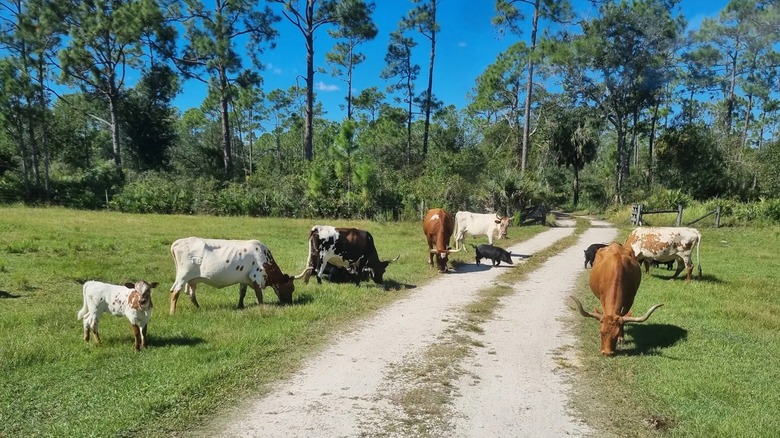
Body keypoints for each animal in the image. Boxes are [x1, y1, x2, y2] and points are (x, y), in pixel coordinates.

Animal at [169, 237, 310, 314]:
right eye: (292, 288)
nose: (289, 303)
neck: (264, 259)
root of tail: (178, 242)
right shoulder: (256, 276)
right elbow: (259, 295)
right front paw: (262, 307)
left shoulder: (244, 279)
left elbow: (242, 293)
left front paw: (240, 306)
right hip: (183, 275)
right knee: (175, 291)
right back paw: (172, 313)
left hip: (192, 280)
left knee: (192, 294)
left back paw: (199, 308)